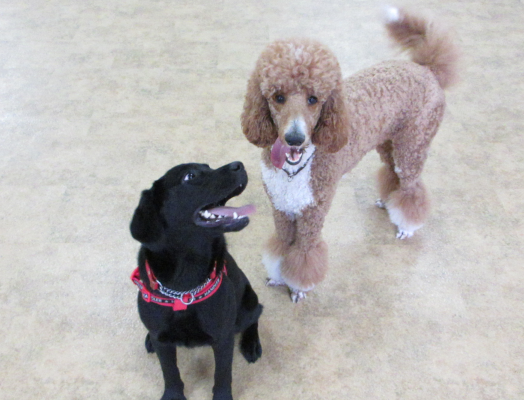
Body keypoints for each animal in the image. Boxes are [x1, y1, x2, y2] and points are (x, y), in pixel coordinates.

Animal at [130, 161, 263, 400]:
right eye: (190, 176)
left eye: (208, 166)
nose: (239, 164)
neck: (185, 289)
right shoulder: (163, 340)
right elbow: (170, 372)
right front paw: (173, 395)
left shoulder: (223, 337)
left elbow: (222, 374)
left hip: (248, 303)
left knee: (255, 315)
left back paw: (251, 344)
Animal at [240, 7, 459, 302]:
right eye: (278, 96)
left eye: (314, 99)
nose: (294, 138)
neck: (294, 170)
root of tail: (426, 69)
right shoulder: (281, 206)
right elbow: (281, 245)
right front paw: (276, 275)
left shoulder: (313, 211)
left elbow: (304, 255)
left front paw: (297, 287)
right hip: (388, 143)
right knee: (392, 174)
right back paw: (387, 202)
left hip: (412, 146)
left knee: (412, 188)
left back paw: (406, 225)